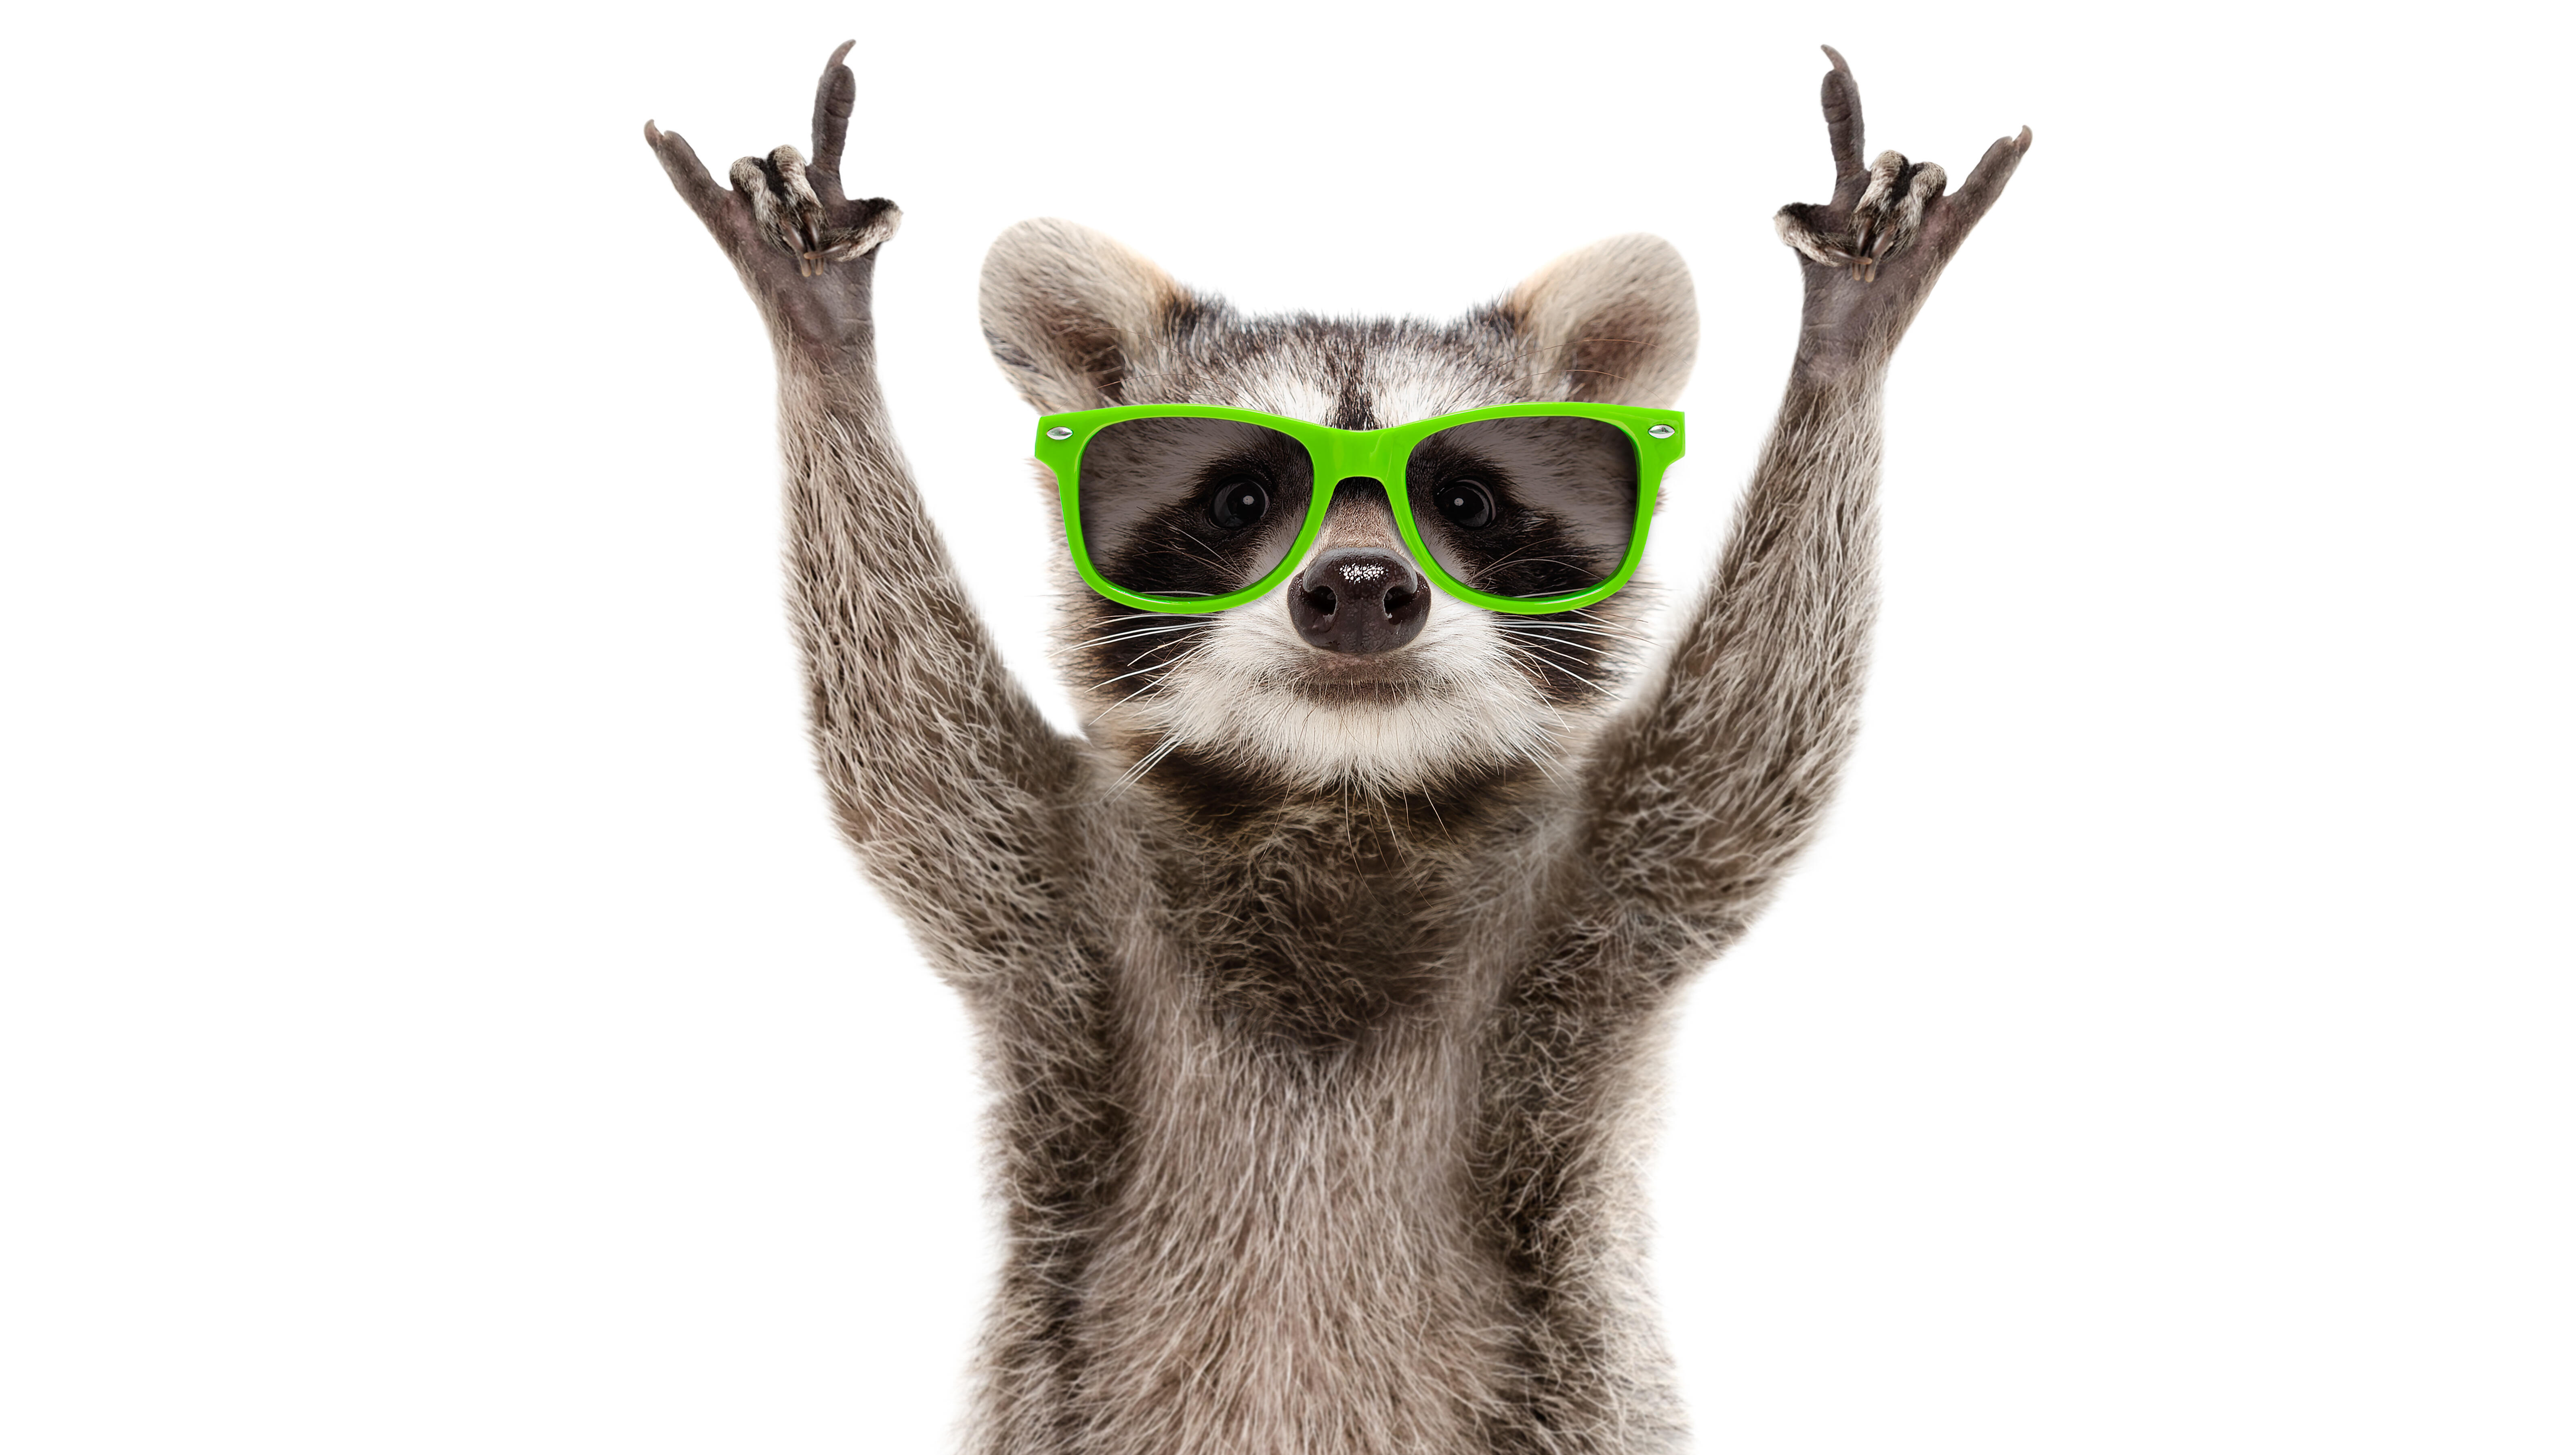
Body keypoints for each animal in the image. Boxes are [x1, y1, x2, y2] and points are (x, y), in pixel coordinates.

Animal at [646, 42, 2026, 1455]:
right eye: (1240, 498)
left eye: (1462, 500)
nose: (1361, 590)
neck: (1338, 788)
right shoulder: (1053, 889)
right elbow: (903, 744)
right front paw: (824, 345)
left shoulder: (1597, 895)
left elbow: (1749, 748)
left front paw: (1842, 351)